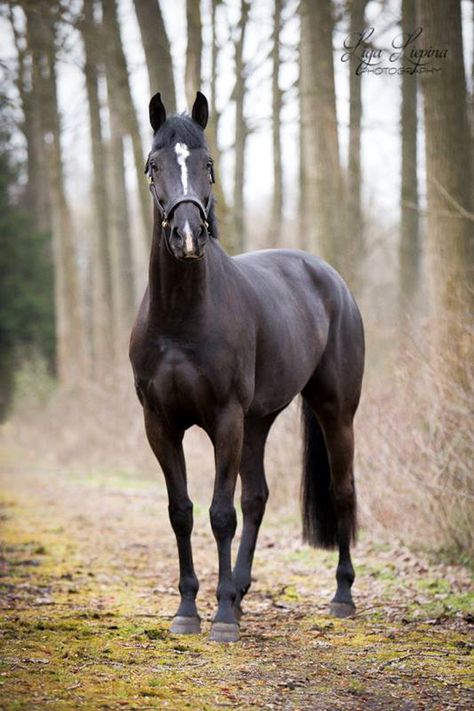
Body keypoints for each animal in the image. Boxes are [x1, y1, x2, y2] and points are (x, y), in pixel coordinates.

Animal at [128, 90, 364, 644]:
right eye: (154, 165)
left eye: (208, 164)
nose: (188, 237)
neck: (181, 318)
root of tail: (329, 278)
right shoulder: (160, 425)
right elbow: (182, 512)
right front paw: (188, 610)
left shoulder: (225, 420)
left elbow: (220, 514)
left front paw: (219, 619)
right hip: (259, 421)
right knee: (257, 497)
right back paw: (238, 589)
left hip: (333, 411)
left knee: (342, 492)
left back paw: (341, 596)